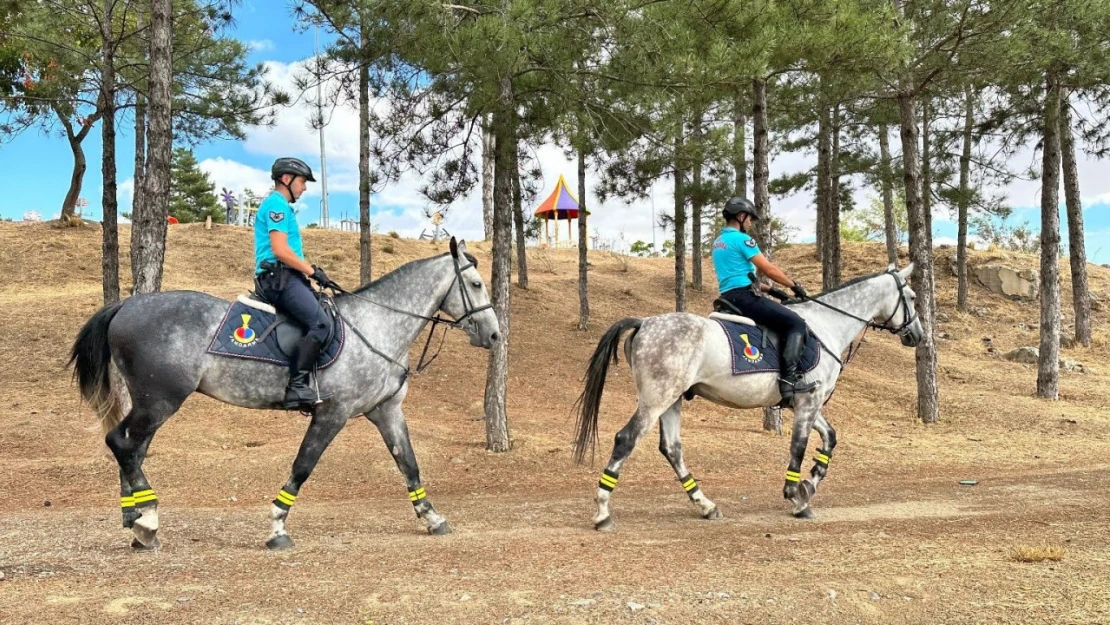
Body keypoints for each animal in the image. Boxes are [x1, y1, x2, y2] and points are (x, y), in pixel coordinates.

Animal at [70, 237, 499, 550]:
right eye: (476, 284)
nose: (495, 335)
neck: (376, 325)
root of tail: (126, 305)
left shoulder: (386, 410)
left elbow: (408, 464)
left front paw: (432, 517)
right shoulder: (333, 413)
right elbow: (302, 466)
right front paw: (277, 527)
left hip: (152, 402)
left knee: (132, 449)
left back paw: (138, 520)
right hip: (158, 400)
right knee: (122, 443)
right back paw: (148, 520)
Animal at [577, 263, 923, 528]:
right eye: (912, 297)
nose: (917, 336)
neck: (827, 325)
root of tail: (644, 322)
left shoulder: (806, 403)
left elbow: (829, 439)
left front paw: (809, 483)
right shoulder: (808, 402)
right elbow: (798, 446)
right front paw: (796, 497)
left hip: (671, 400)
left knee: (672, 449)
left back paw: (706, 506)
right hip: (656, 400)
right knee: (626, 439)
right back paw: (603, 511)